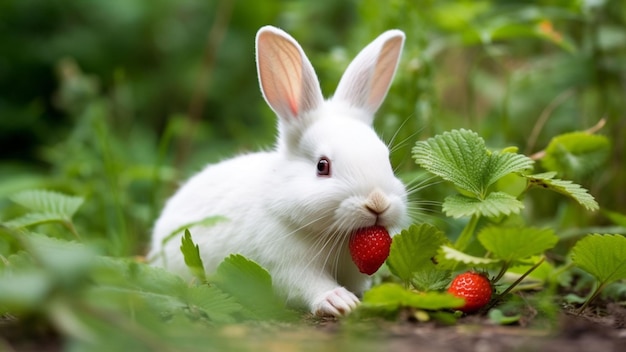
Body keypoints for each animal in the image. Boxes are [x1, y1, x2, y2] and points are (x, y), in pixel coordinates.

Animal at [149, 24, 408, 316]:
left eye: (387, 159)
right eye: (322, 166)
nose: (377, 203)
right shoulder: (289, 266)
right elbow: (310, 285)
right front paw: (340, 302)